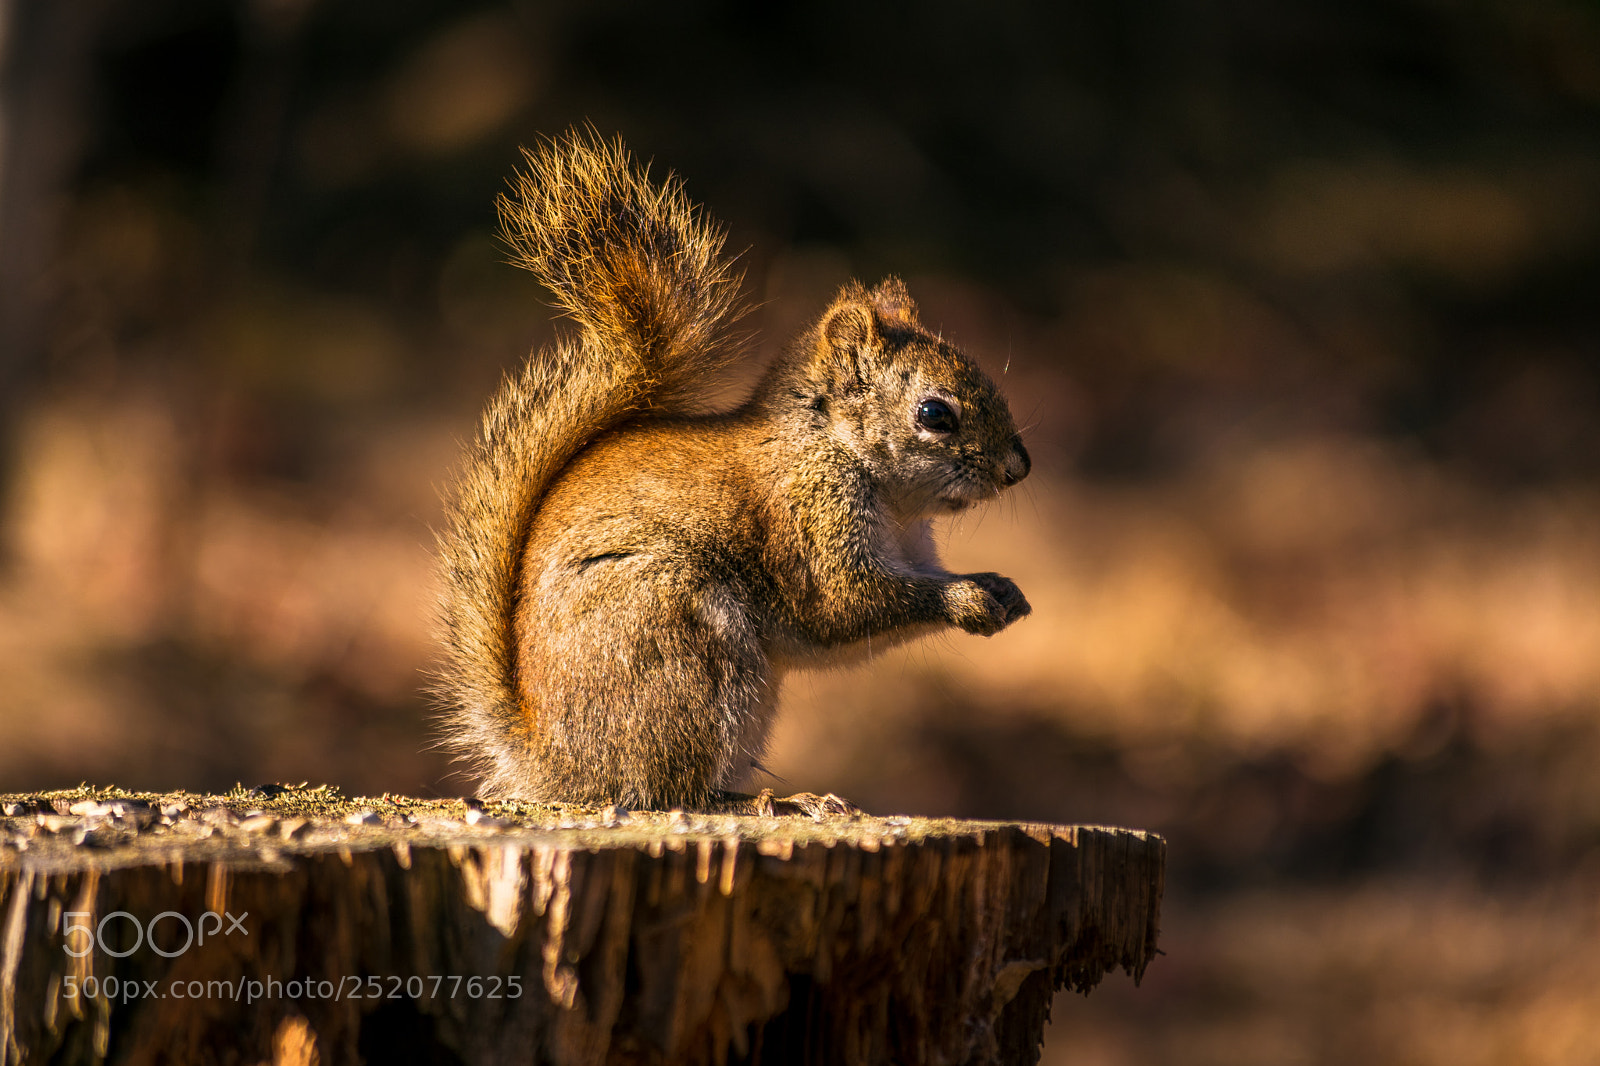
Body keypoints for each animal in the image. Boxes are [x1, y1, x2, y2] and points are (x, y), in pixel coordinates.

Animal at [435, 130, 1032, 813]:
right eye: (935, 414)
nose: (1019, 468)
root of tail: (557, 762)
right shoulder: (806, 524)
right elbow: (846, 604)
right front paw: (967, 599)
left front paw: (999, 586)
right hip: (680, 641)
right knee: (671, 790)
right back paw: (767, 801)